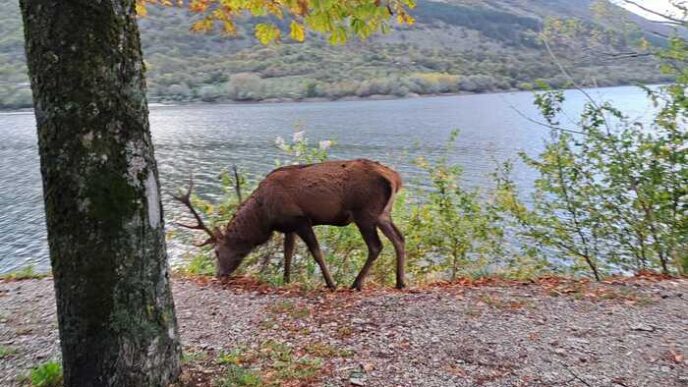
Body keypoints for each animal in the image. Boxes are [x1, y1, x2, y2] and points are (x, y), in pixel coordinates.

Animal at [175, 159, 406, 290]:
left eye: (216, 251)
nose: (219, 274)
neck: (264, 217)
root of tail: (395, 178)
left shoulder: (301, 220)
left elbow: (316, 252)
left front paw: (330, 284)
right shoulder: (288, 226)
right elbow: (288, 252)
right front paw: (285, 280)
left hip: (365, 213)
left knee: (376, 246)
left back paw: (356, 284)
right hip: (383, 214)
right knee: (400, 239)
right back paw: (400, 282)